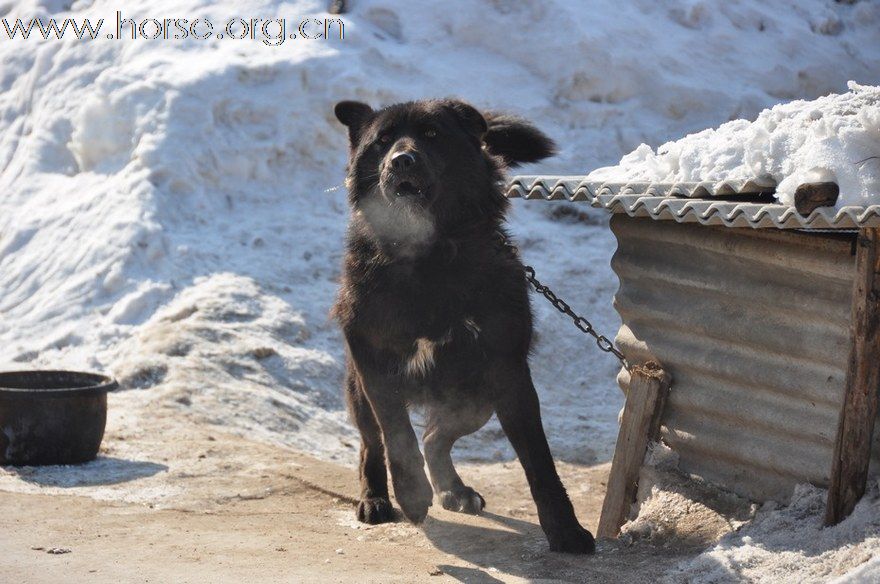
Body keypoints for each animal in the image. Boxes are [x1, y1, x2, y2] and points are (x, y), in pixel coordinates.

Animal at [334, 98, 596, 556]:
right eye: (382, 140)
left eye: (432, 134)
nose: (401, 160)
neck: (427, 257)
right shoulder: (373, 358)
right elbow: (396, 434)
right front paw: (411, 494)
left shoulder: (508, 372)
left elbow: (540, 462)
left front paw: (565, 530)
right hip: (361, 390)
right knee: (373, 442)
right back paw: (376, 499)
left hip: (476, 398)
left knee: (436, 436)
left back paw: (453, 490)